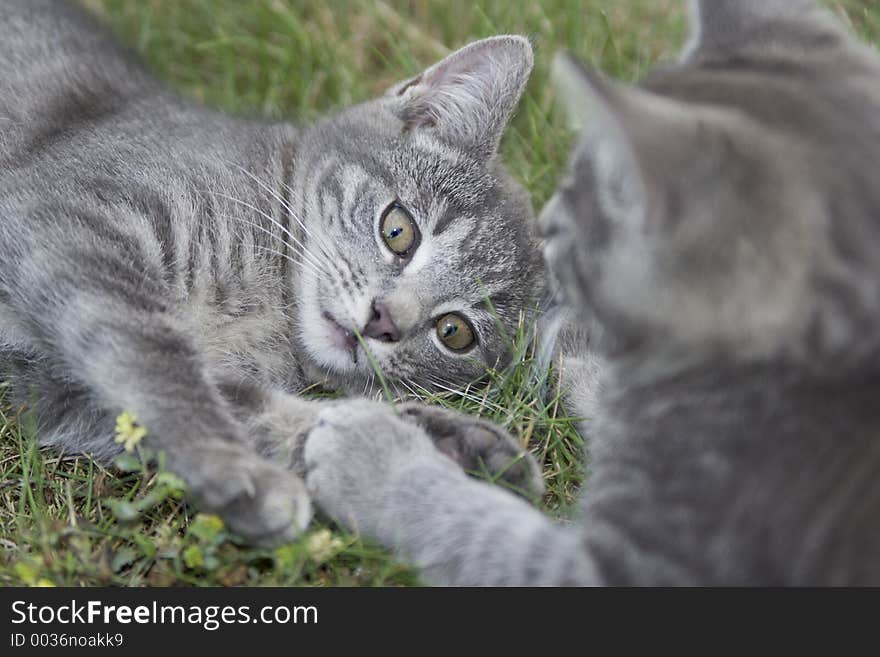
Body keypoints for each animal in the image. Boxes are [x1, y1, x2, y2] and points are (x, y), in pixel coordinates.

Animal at [0, 1, 548, 544]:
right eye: (398, 230)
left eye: (454, 333)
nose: (384, 320)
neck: (268, 309)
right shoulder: (73, 218)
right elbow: (156, 361)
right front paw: (231, 466)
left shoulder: (45, 385)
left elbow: (246, 405)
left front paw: (441, 446)